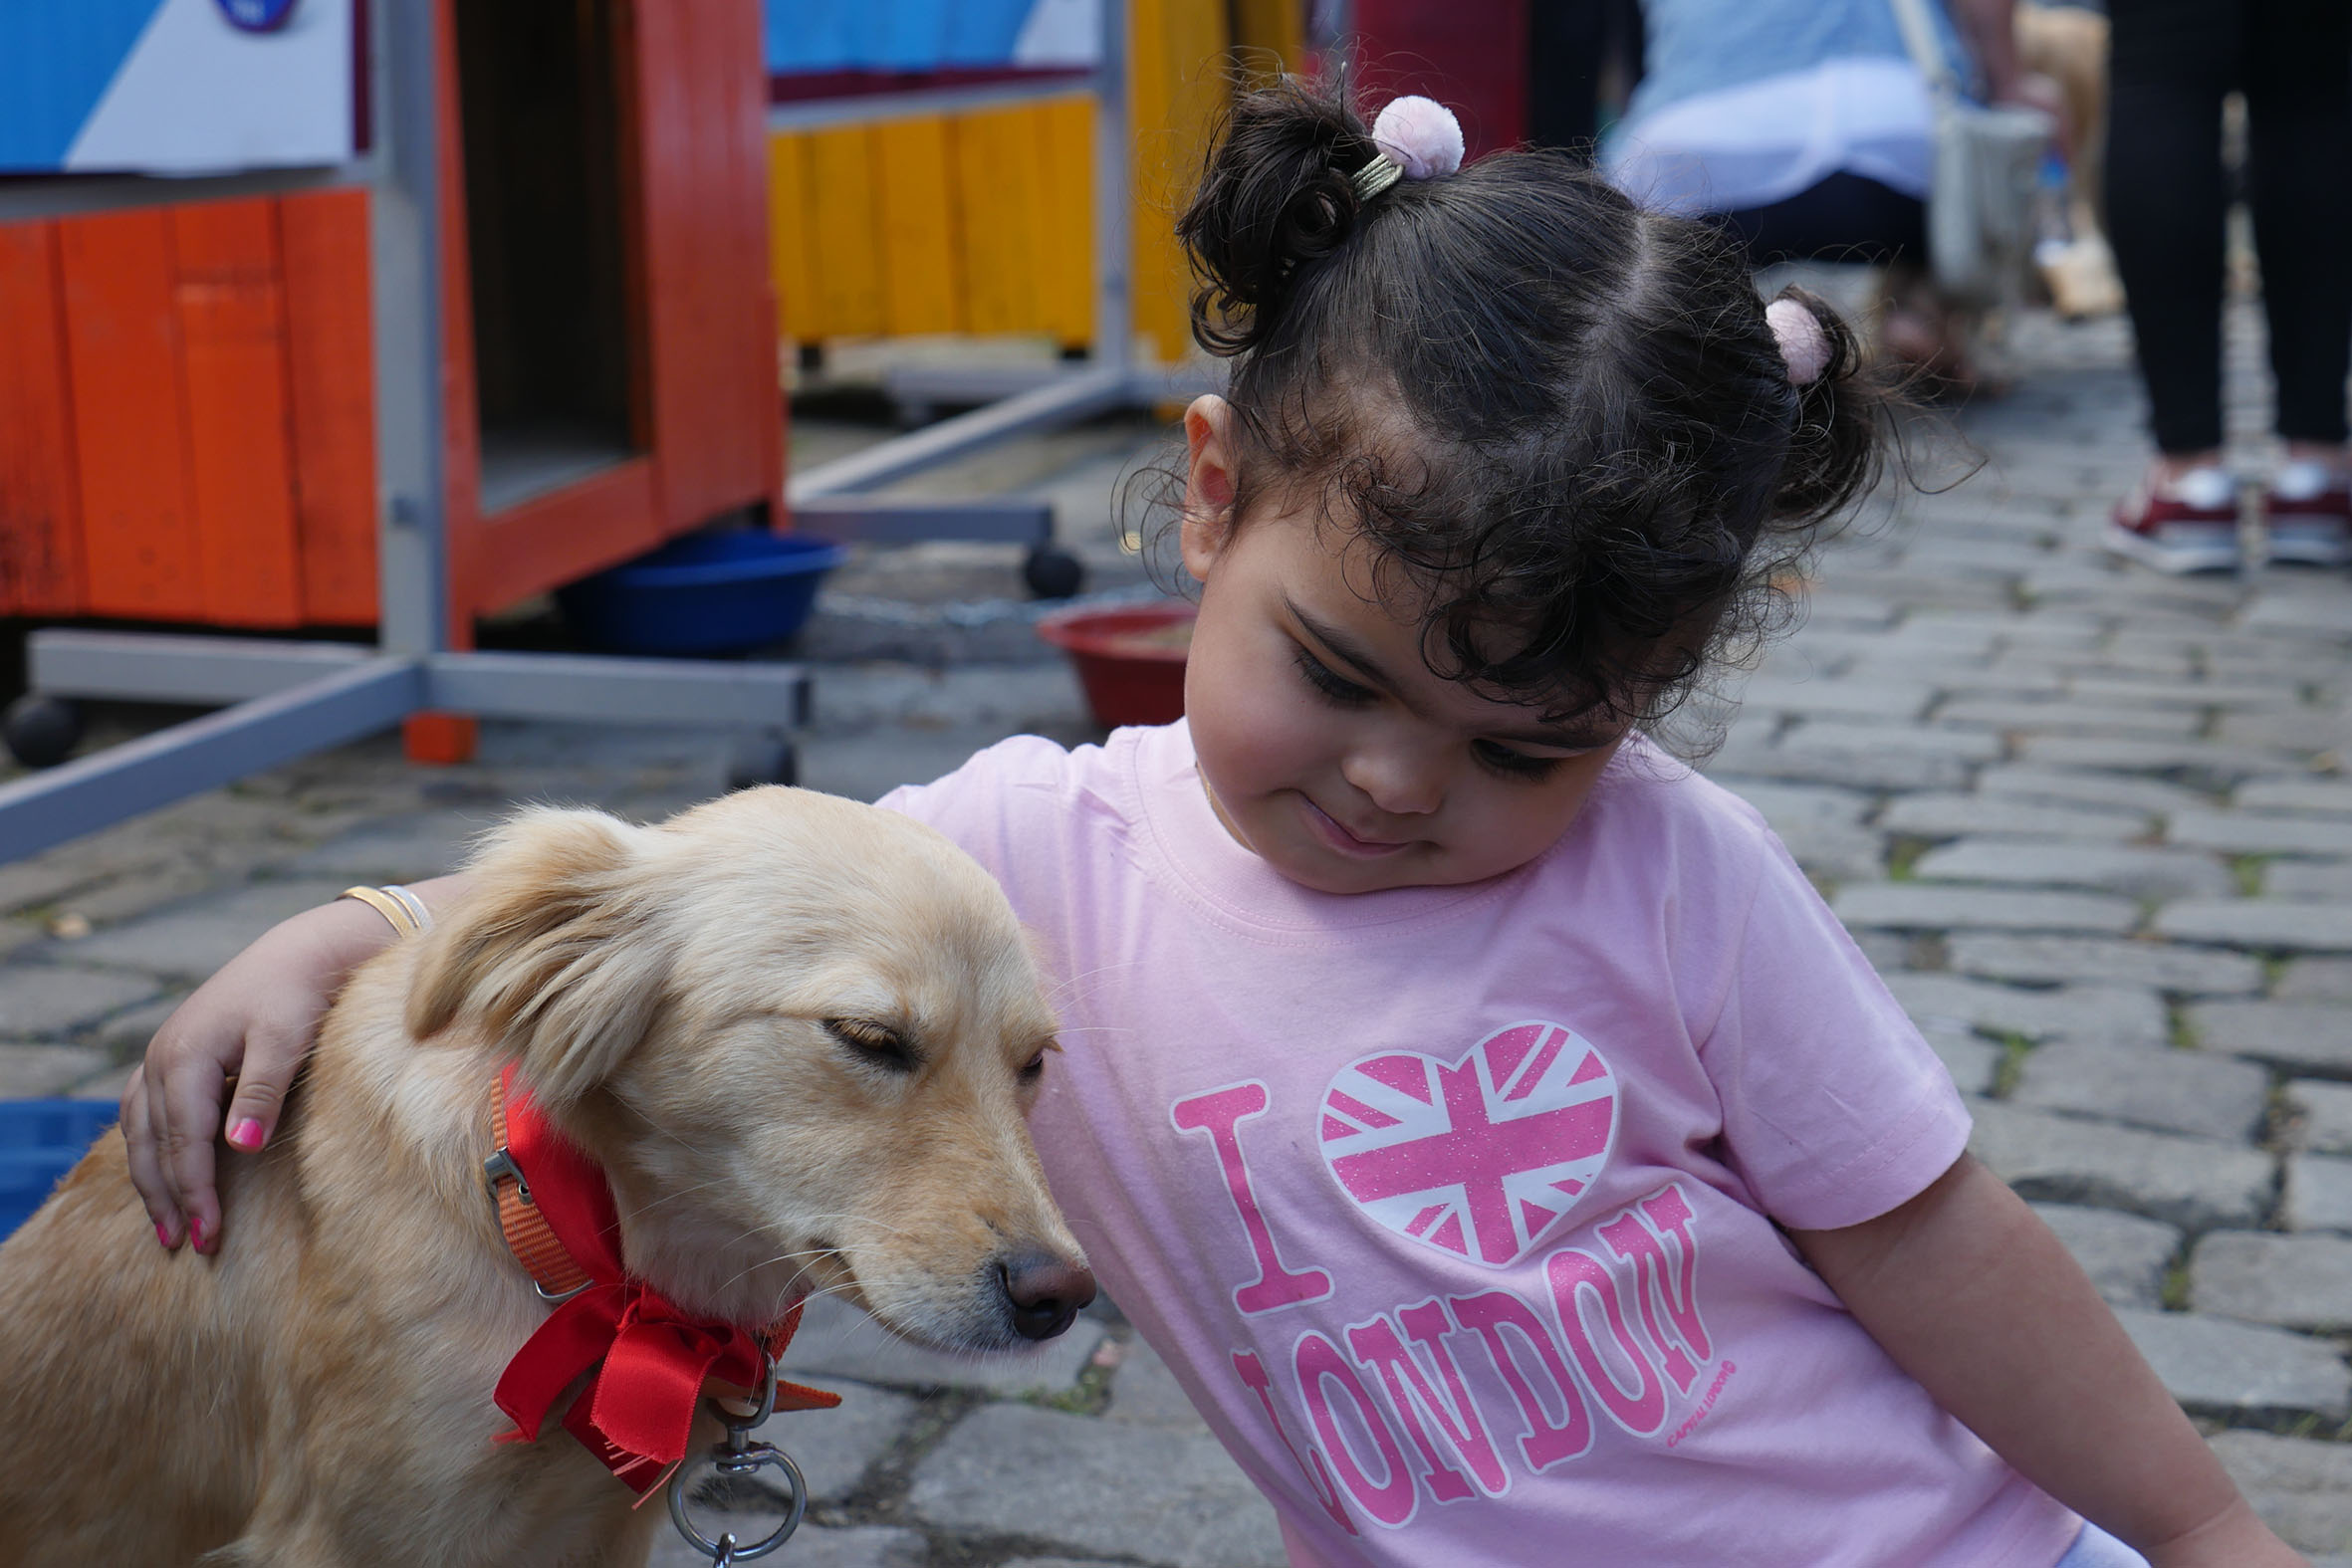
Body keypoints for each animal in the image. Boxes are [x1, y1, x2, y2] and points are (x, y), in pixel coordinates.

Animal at [0, 787, 1092, 1565]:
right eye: (868, 1037)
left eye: (1034, 1062)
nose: (1062, 1297)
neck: (564, 1246)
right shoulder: (358, 1534)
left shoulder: (602, 1530)